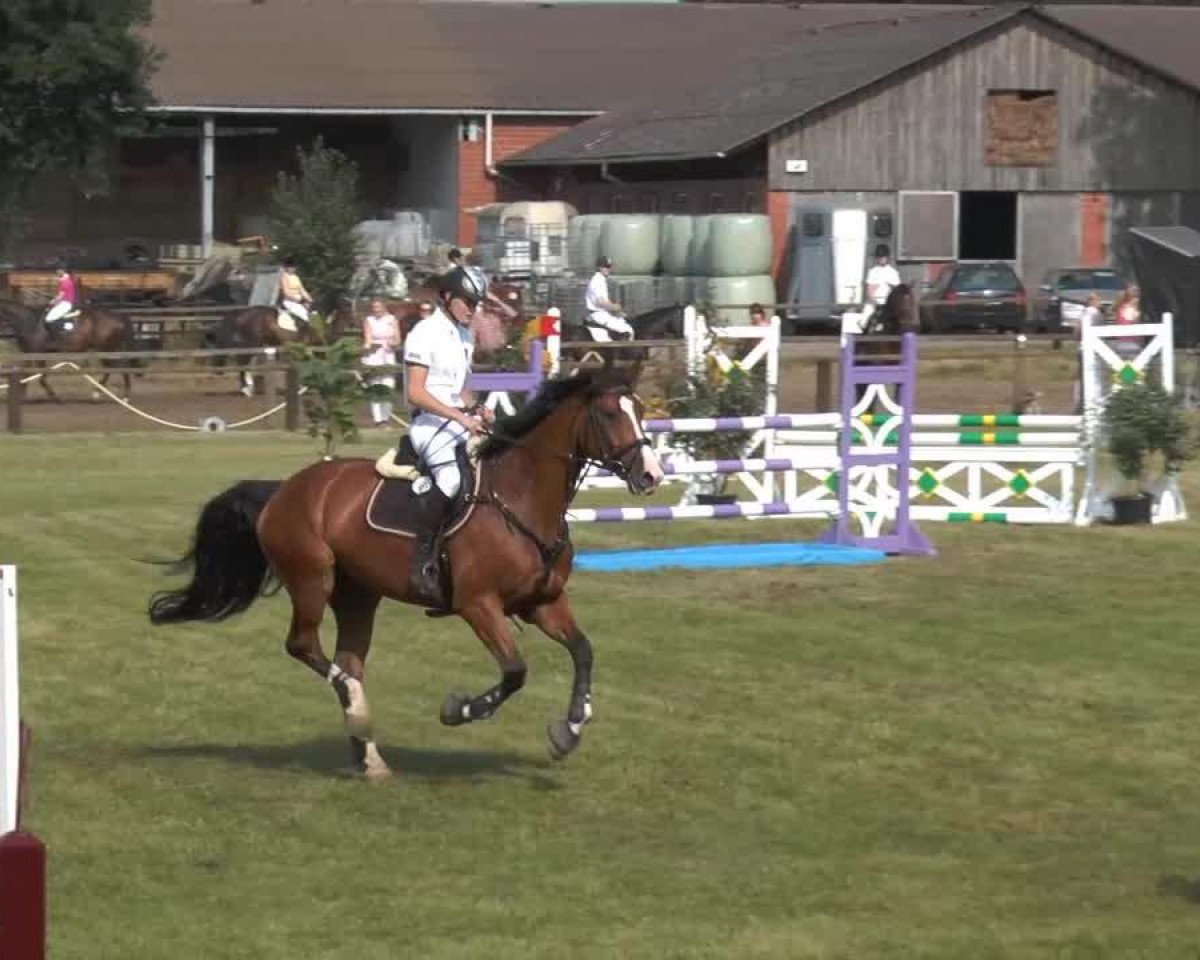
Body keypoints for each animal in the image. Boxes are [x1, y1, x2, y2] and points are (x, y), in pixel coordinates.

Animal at [0, 297, 138, 402]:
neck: (29, 320)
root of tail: (117, 315)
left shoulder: (35, 352)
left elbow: (36, 376)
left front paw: (54, 397)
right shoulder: (32, 353)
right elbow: (32, 374)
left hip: (106, 347)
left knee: (118, 366)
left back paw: (119, 396)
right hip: (107, 348)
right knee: (113, 367)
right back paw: (101, 392)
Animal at [147, 363, 664, 778]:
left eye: (639, 409)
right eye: (611, 414)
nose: (652, 475)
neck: (520, 499)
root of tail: (283, 490)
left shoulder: (543, 602)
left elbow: (583, 651)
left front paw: (569, 730)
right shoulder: (478, 605)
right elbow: (515, 671)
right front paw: (458, 710)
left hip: (358, 595)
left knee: (347, 661)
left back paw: (368, 753)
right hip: (313, 579)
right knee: (305, 647)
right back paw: (359, 712)